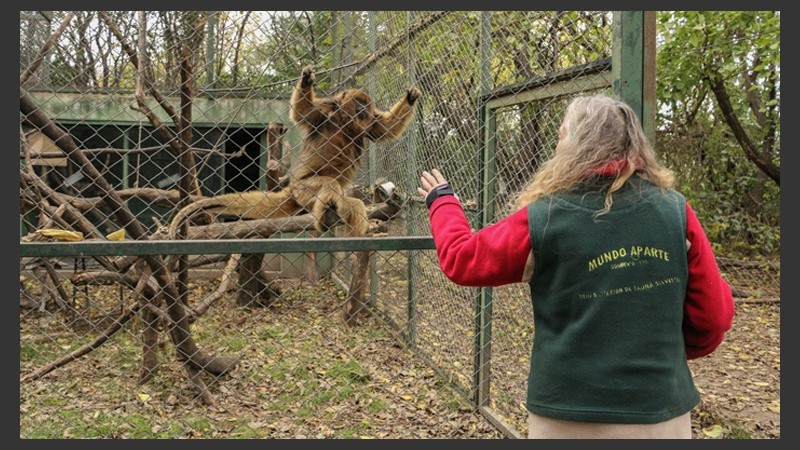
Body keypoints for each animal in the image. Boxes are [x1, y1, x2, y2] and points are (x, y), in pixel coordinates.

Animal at [168, 64, 421, 239]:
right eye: (357, 103)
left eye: (365, 105)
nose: (363, 109)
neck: (345, 123)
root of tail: (291, 189)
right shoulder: (326, 109)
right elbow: (303, 112)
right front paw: (306, 81)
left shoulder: (368, 123)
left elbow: (384, 129)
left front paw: (410, 98)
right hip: (304, 189)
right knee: (329, 184)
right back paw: (325, 218)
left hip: (324, 197)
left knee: (353, 204)